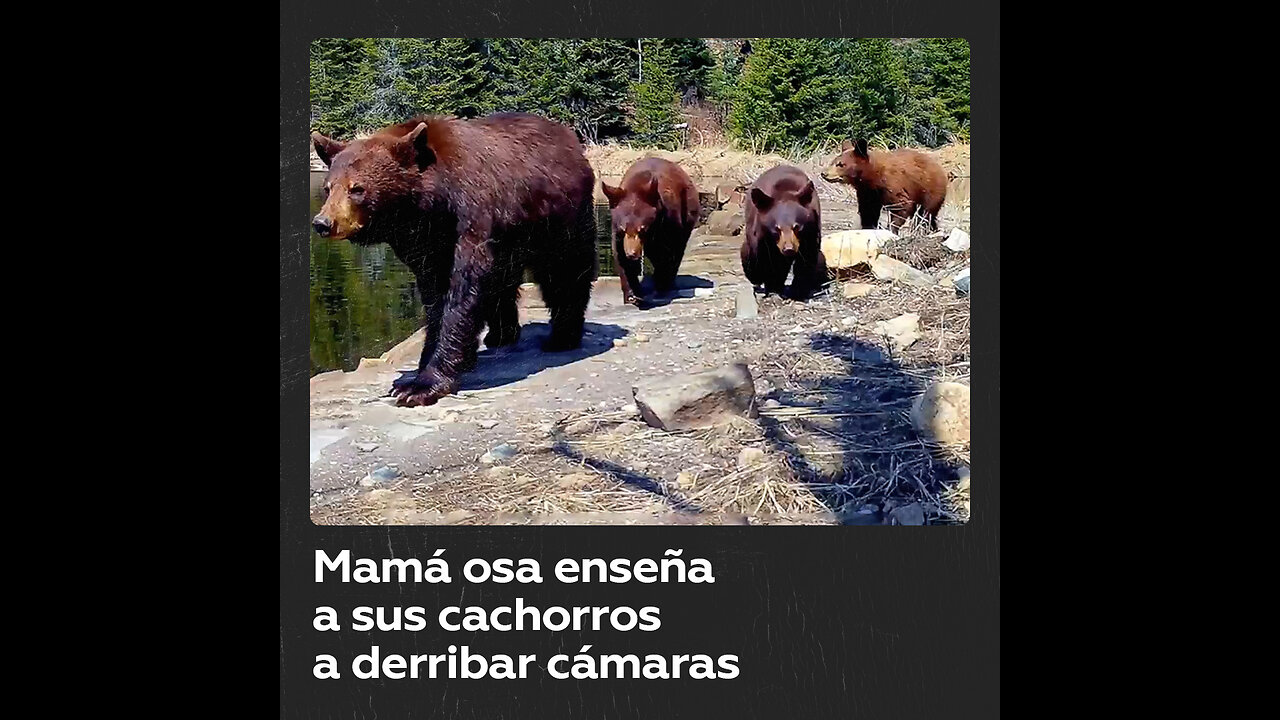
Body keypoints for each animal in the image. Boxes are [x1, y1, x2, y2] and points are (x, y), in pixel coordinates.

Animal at [309, 112, 593, 404]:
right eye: (328, 188)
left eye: (357, 189)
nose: (323, 223)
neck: (430, 207)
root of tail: (569, 137)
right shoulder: (425, 245)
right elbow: (435, 298)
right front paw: (420, 370)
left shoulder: (470, 218)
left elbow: (462, 291)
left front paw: (422, 385)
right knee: (504, 281)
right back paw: (501, 335)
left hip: (559, 220)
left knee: (565, 271)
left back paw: (563, 336)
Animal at [601, 158, 701, 303]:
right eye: (623, 228)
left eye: (642, 228)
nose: (632, 254)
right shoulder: (617, 231)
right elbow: (620, 255)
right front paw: (632, 294)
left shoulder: (668, 221)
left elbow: (667, 251)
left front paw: (661, 285)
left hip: (687, 209)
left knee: (677, 248)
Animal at [742, 163, 829, 298]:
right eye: (776, 228)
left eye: (797, 226)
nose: (788, 249)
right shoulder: (760, 235)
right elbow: (762, 257)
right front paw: (769, 284)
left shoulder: (811, 230)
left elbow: (807, 257)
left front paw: (798, 290)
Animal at [819, 139, 952, 230]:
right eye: (833, 162)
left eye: (841, 164)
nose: (824, 173)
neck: (874, 177)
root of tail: (941, 169)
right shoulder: (868, 192)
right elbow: (868, 210)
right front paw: (869, 226)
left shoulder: (894, 185)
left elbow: (901, 206)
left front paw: (892, 228)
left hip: (929, 190)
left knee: (925, 214)